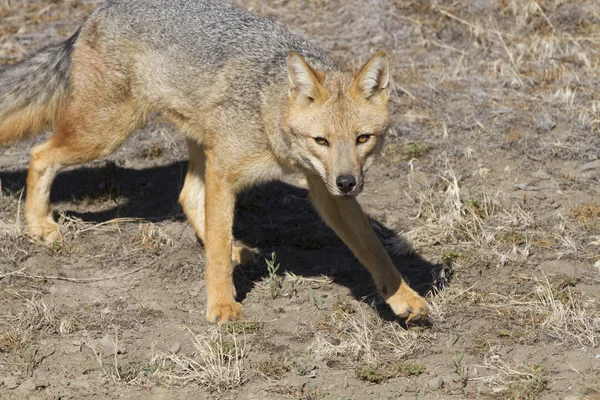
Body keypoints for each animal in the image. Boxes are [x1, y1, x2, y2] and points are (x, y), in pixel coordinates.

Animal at [1, 0, 432, 322]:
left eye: (363, 139)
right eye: (321, 140)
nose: (348, 183)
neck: (267, 110)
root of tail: (96, 13)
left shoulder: (325, 195)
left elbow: (374, 249)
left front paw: (402, 296)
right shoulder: (226, 171)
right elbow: (219, 254)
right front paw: (222, 305)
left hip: (193, 144)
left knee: (188, 198)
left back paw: (236, 249)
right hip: (105, 134)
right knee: (40, 155)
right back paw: (39, 224)